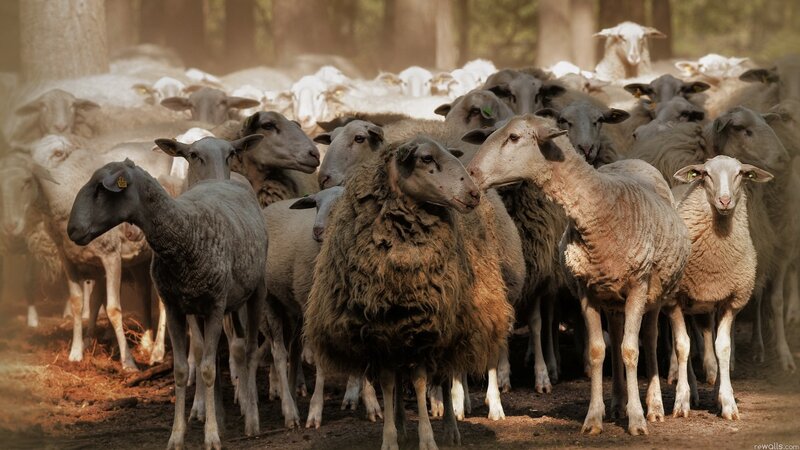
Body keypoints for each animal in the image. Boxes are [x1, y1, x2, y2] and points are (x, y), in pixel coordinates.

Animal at [67, 159, 267, 449]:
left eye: (100, 189)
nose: (71, 229)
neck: (185, 234)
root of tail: (227, 180)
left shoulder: (215, 306)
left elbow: (207, 369)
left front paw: (211, 437)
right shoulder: (175, 307)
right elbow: (182, 371)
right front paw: (177, 436)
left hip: (256, 291)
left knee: (250, 351)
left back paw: (252, 420)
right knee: (232, 350)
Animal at [305, 136, 513, 449]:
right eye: (426, 158)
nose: (473, 193)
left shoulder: (424, 330)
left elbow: (420, 383)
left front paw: (427, 438)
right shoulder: (381, 334)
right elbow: (389, 384)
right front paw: (390, 437)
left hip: (450, 332)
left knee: (443, 378)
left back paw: (451, 429)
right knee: (400, 383)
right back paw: (403, 425)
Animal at [465, 114, 690, 435]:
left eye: (514, 137)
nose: (470, 173)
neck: (600, 209)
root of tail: (634, 159)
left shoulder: (637, 285)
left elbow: (631, 351)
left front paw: (637, 419)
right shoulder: (587, 290)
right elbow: (597, 351)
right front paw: (594, 418)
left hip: (656, 292)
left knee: (647, 338)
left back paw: (655, 406)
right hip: (612, 296)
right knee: (617, 336)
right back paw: (618, 402)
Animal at [667, 155, 772, 420]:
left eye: (741, 174)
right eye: (706, 174)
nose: (725, 200)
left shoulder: (730, 300)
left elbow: (722, 348)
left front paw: (727, 402)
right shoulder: (674, 301)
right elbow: (683, 346)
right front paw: (681, 401)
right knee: (683, 345)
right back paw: (692, 391)